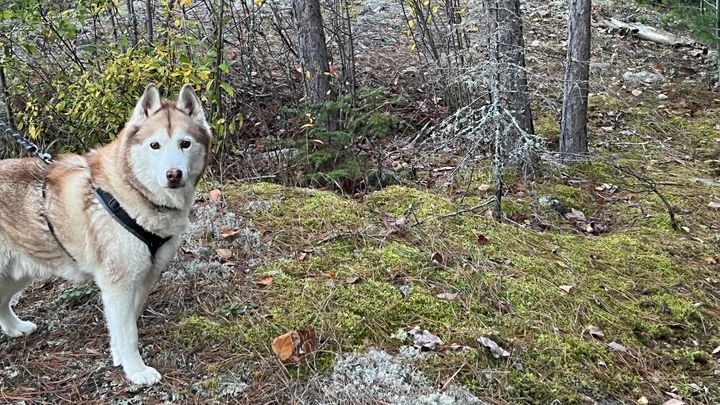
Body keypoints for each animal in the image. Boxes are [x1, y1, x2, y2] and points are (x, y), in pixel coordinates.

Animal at [0, 84, 212, 385]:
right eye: (155, 145)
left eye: (185, 143)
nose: (174, 174)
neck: (132, 194)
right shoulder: (118, 284)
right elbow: (129, 332)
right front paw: (137, 371)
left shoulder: (144, 277)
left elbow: (124, 324)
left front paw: (119, 357)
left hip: (18, 272)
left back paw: (14, 327)